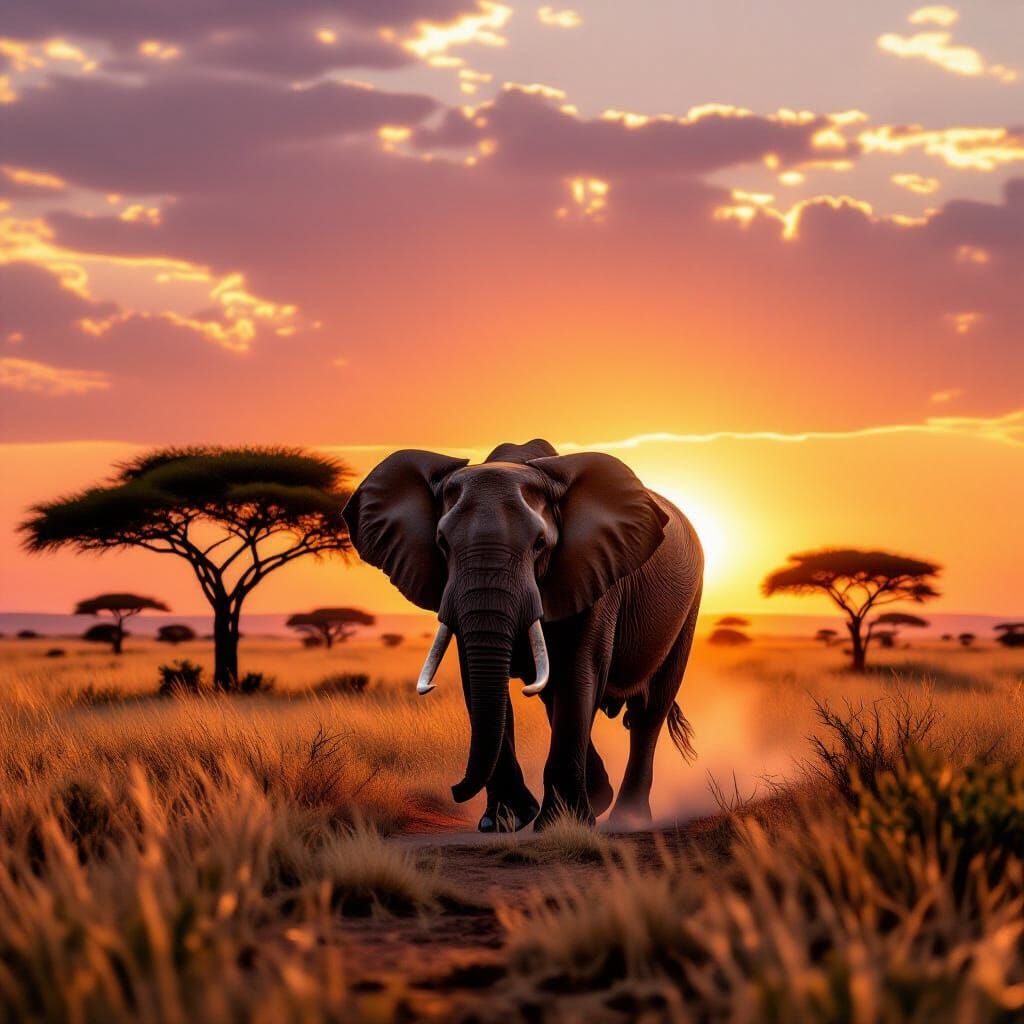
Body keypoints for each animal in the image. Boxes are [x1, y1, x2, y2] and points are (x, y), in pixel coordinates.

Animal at [342, 438, 703, 831]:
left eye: (540, 544)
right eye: (442, 543)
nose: (455, 789)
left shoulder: (596, 572)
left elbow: (579, 673)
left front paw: (561, 824)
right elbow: (481, 679)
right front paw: (502, 822)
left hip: (689, 607)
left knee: (648, 712)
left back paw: (627, 818)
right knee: (556, 700)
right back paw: (599, 798)